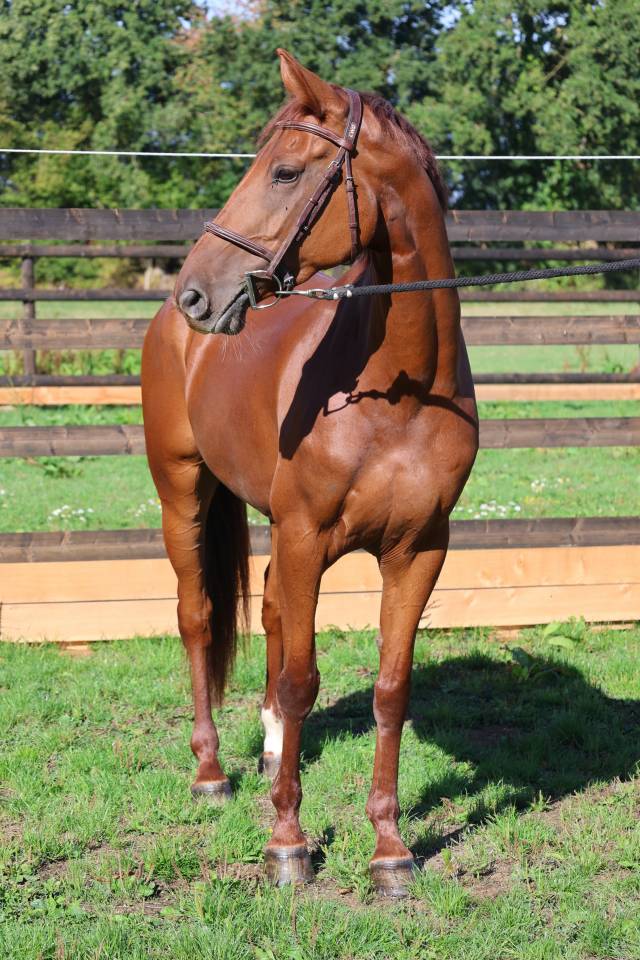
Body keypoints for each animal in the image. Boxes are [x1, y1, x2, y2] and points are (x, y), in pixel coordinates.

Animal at [141, 48, 478, 897]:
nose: (198, 291)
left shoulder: (419, 551)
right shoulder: (305, 537)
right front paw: (288, 844)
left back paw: (267, 758)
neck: (397, 394)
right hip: (183, 493)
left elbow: (390, 690)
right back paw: (212, 774)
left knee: (265, 614)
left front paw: (390, 851)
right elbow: (301, 680)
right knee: (199, 618)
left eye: (287, 172)